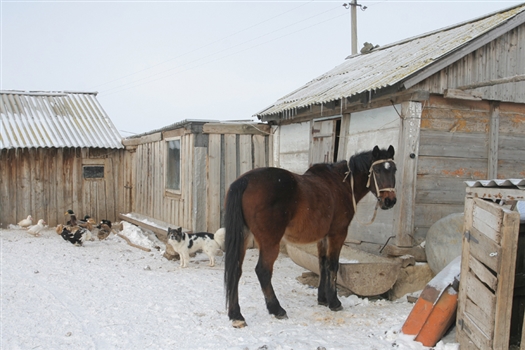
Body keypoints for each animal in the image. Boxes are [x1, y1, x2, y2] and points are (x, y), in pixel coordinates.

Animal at [223, 144, 396, 326]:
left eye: (394, 170)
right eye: (377, 170)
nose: (390, 201)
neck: (341, 184)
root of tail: (245, 181)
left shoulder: (323, 237)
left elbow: (322, 264)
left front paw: (323, 298)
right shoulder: (337, 233)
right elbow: (333, 265)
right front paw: (334, 302)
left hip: (243, 237)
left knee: (236, 271)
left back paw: (236, 315)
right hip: (270, 242)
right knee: (263, 271)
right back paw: (277, 309)